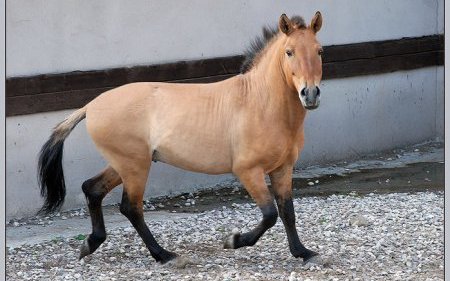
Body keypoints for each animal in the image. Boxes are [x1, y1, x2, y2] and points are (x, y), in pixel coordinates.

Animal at [37, 11, 324, 264]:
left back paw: (90, 244)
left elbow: (287, 212)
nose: (310, 94)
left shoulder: (282, 168)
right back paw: (163, 255)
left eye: (319, 51)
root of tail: (90, 106)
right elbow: (270, 214)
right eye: (289, 52)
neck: (259, 102)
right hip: (134, 166)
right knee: (131, 207)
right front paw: (233, 241)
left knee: (92, 188)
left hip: (126, 164)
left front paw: (303, 252)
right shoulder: (248, 171)